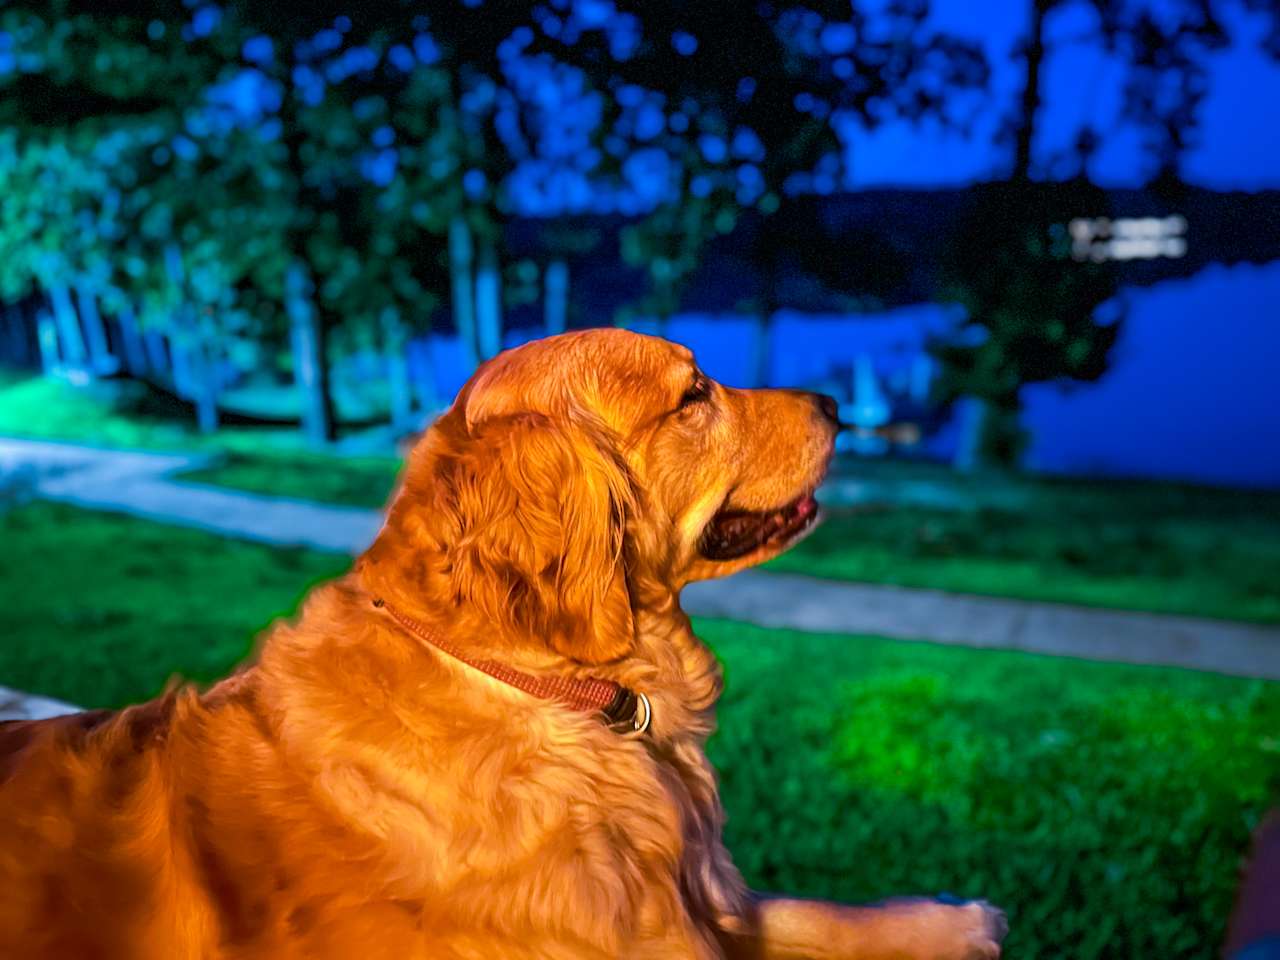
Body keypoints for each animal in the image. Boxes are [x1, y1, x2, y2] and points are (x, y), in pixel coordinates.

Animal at [0, 332, 998, 960]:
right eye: (694, 395)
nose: (835, 402)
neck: (548, 689)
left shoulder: (691, 903)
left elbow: (802, 909)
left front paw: (948, 921)